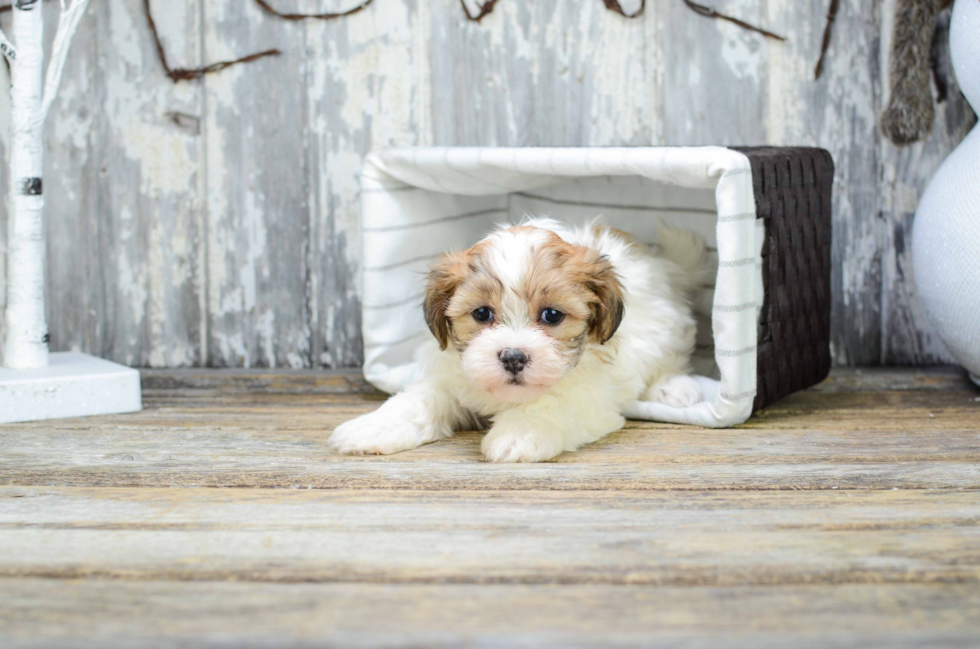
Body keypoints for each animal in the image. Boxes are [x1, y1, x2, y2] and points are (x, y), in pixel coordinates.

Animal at [330, 220, 704, 464]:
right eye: (482, 313)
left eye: (551, 315)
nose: (513, 357)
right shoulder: (451, 376)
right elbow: (417, 401)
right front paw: (373, 428)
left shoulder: (593, 392)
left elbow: (553, 402)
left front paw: (519, 433)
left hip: (667, 329)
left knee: (670, 360)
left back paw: (672, 388)